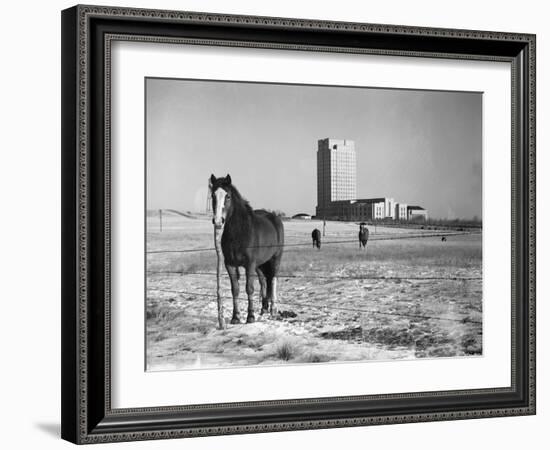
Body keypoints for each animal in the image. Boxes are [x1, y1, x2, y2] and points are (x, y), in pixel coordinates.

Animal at [209, 173, 284, 324]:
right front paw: (235, 317)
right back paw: (263, 309)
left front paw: (250, 316)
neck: (239, 232)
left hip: (275, 259)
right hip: (260, 264)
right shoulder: (230, 265)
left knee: (273, 280)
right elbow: (235, 290)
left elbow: (249, 289)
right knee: (264, 282)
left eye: (228, 196)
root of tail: (275, 218)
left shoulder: (249, 265)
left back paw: (273, 310)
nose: (218, 221)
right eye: (213, 196)